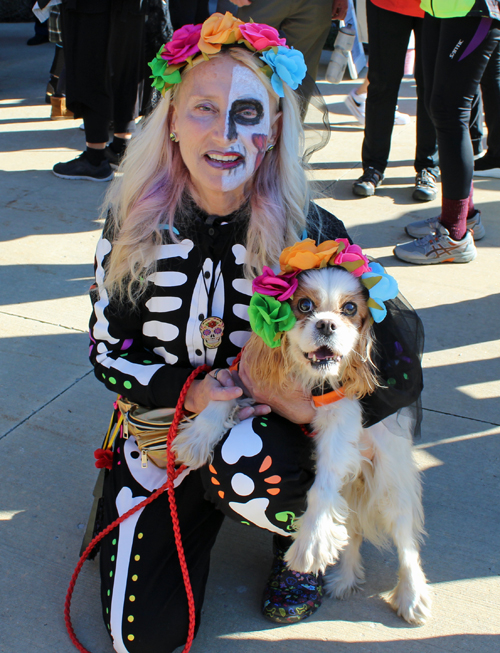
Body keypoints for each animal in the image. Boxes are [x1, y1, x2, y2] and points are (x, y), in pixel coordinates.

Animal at [174, 266, 432, 628]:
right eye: (304, 305)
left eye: (350, 309)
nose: (326, 324)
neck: (308, 377)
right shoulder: (250, 377)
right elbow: (223, 394)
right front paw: (197, 437)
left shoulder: (340, 418)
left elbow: (322, 490)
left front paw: (312, 541)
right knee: (352, 527)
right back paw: (344, 578)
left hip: (389, 484)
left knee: (405, 540)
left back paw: (411, 597)